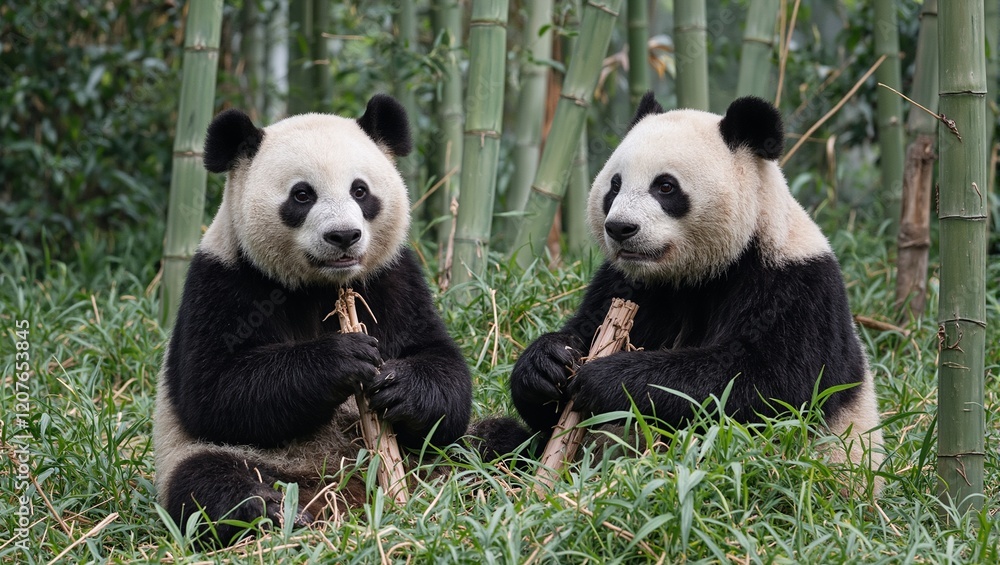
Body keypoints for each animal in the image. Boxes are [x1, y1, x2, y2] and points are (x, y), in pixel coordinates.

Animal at [153, 94, 472, 545]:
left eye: (360, 190)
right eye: (302, 195)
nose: (343, 236)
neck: (318, 285)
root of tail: (343, 490)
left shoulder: (394, 277)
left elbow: (440, 364)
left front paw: (401, 385)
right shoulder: (221, 279)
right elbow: (212, 390)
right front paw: (344, 357)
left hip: (431, 458)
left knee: (488, 444)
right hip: (208, 456)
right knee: (204, 483)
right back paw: (265, 509)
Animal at [510, 94, 884, 492]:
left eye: (665, 186)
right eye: (614, 185)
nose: (620, 228)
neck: (699, 273)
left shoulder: (797, 288)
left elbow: (766, 386)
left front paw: (607, 379)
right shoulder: (627, 285)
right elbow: (582, 335)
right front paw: (547, 364)